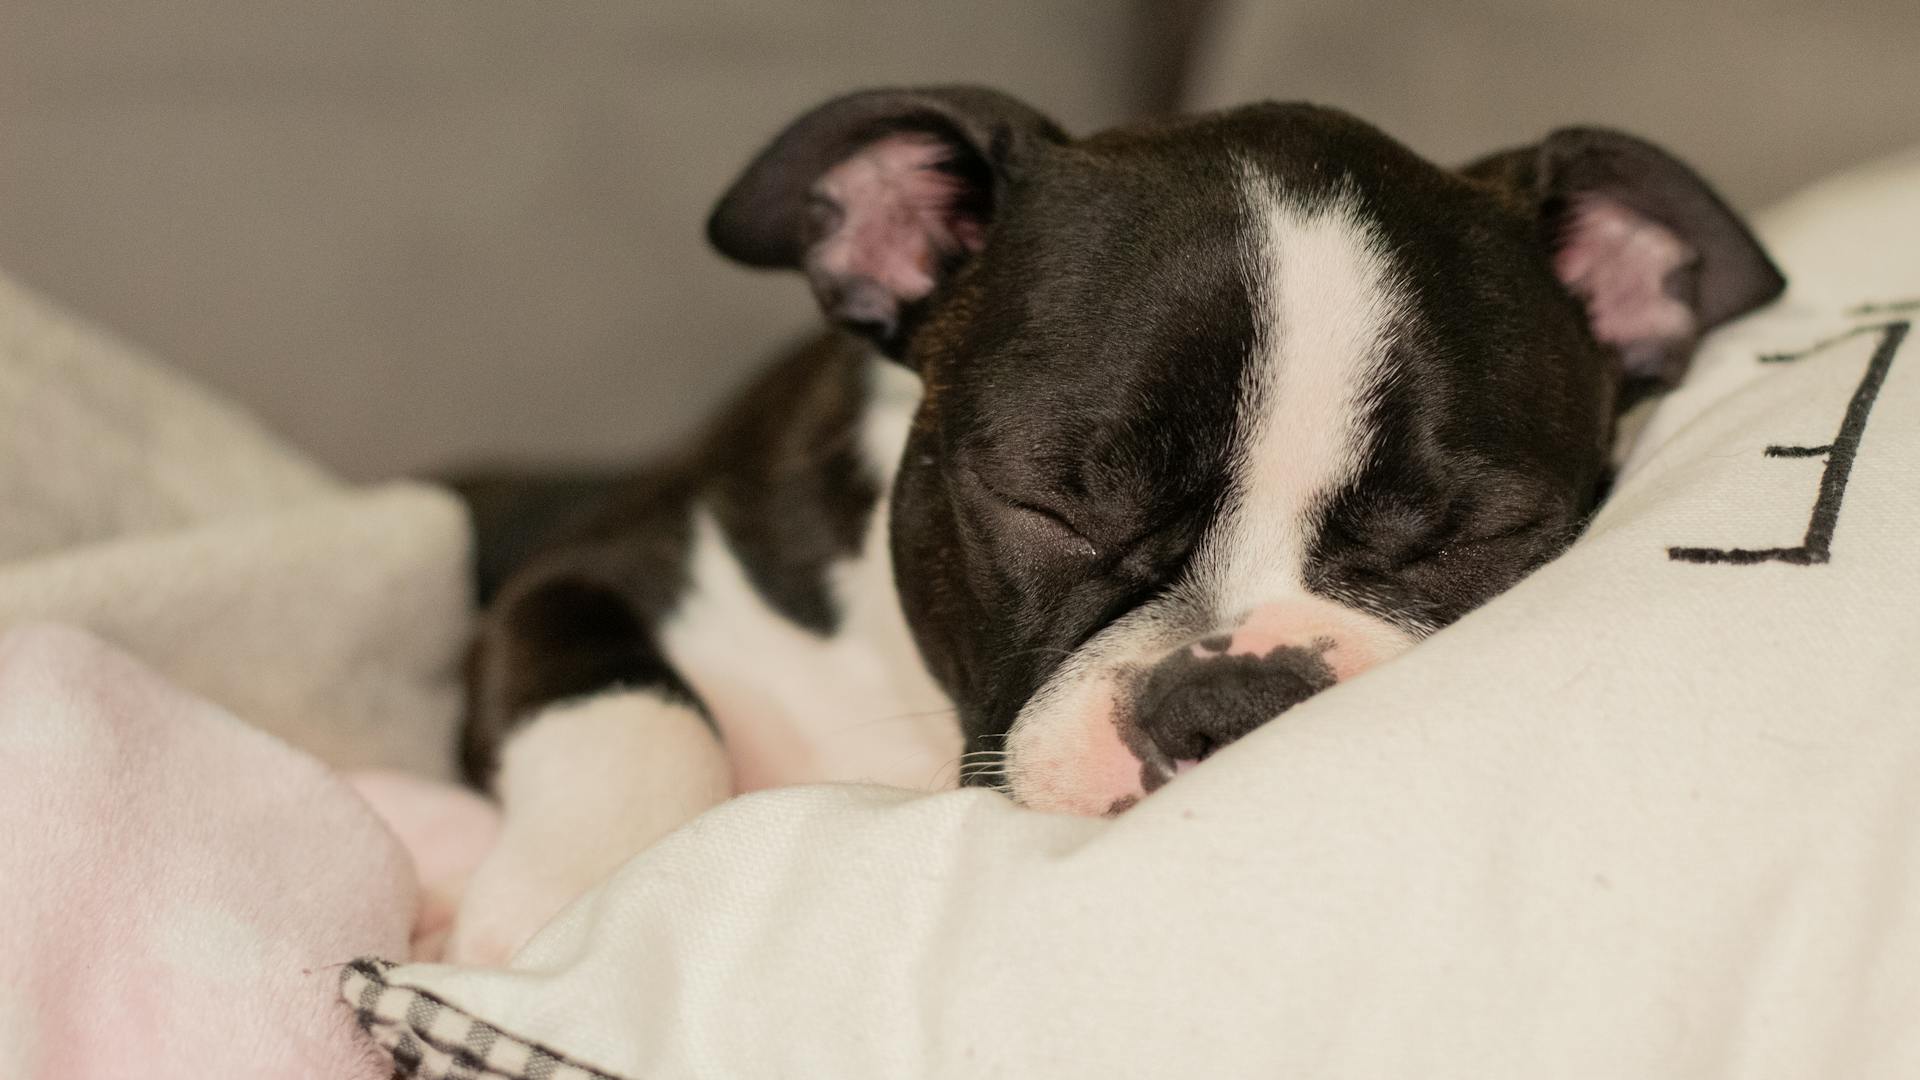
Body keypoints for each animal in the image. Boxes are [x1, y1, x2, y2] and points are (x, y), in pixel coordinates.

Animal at [445, 85, 1781, 957]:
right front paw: (560, 904)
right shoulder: (598, 565)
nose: (1232, 700)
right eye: (1046, 501)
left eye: (1474, 539)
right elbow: (628, 707)